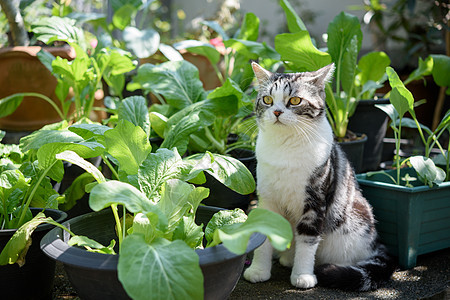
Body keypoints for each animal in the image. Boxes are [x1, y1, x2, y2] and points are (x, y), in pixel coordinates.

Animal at [244, 62, 396, 290]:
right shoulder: (267, 199)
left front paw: (303, 276)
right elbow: (264, 234)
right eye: (267, 100)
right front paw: (258, 270)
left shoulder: (316, 200)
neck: (285, 146)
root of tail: (376, 244)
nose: (277, 111)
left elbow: (308, 240)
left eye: (295, 100)